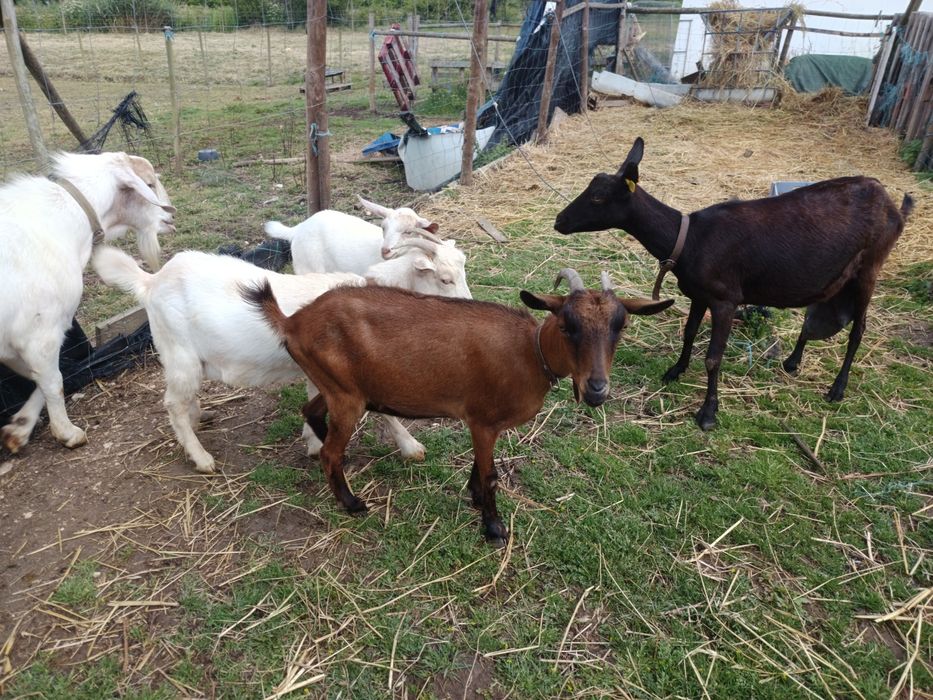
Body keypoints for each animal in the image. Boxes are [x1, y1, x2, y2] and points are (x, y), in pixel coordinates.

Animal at [0, 152, 175, 453]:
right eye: (150, 184)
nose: (170, 217)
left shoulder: (14, 342)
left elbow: (42, 379)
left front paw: (19, 428)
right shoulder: (41, 333)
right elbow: (54, 381)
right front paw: (67, 433)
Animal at [92, 247, 430, 473]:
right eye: (438, 277)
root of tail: (151, 281)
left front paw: (312, 442)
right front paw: (411, 447)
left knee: (184, 399)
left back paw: (198, 420)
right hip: (180, 354)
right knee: (173, 404)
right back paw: (201, 458)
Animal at [243, 270, 672, 545]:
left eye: (621, 326)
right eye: (567, 324)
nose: (596, 390)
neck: (530, 352)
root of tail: (293, 322)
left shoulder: (480, 423)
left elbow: (480, 467)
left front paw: (475, 497)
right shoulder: (483, 420)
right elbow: (492, 474)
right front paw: (494, 529)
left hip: (342, 387)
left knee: (312, 412)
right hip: (346, 396)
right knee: (331, 450)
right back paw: (352, 503)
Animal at [554, 137, 913, 430]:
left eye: (598, 197)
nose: (559, 221)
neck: (689, 240)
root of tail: (893, 204)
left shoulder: (725, 298)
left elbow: (714, 358)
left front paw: (708, 413)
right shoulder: (700, 295)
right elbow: (689, 332)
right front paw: (675, 371)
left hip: (870, 268)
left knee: (858, 328)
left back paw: (837, 388)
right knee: (814, 319)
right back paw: (792, 362)